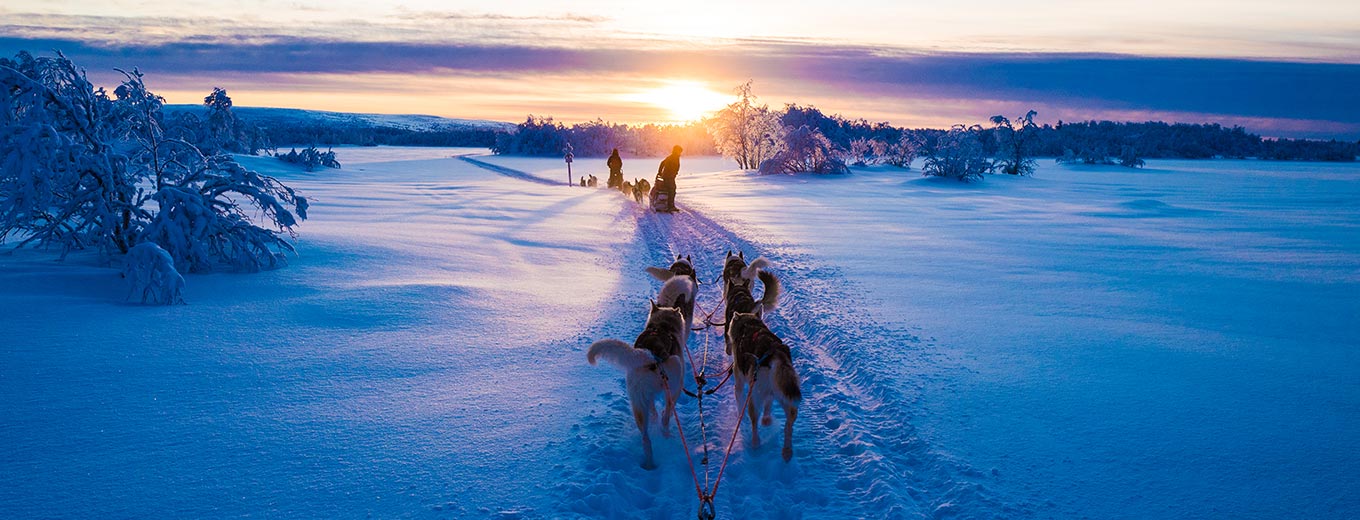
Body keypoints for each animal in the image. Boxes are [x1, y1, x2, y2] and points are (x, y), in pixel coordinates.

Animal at [587, 298, 690, 468]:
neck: (663, 326)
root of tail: (650, 354)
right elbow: (664, 412)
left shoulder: (649, 397)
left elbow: (653, 410)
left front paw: (655, 418)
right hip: (675, 373)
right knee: (667, 415)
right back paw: (666, 434)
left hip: (638, 403)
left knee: (646, 438)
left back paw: (649, 462)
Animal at [728, 310, 799, 460]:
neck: (749, 324)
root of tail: (775, 354)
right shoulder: (769, 394)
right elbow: (768, 404)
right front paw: (766, 419)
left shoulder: (740, 382)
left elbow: (739, 400)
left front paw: (741, 417)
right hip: (785, 395)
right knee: (789, 423)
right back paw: (787, 450)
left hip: (754, 397)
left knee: (754, 421)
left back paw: (755, 442)